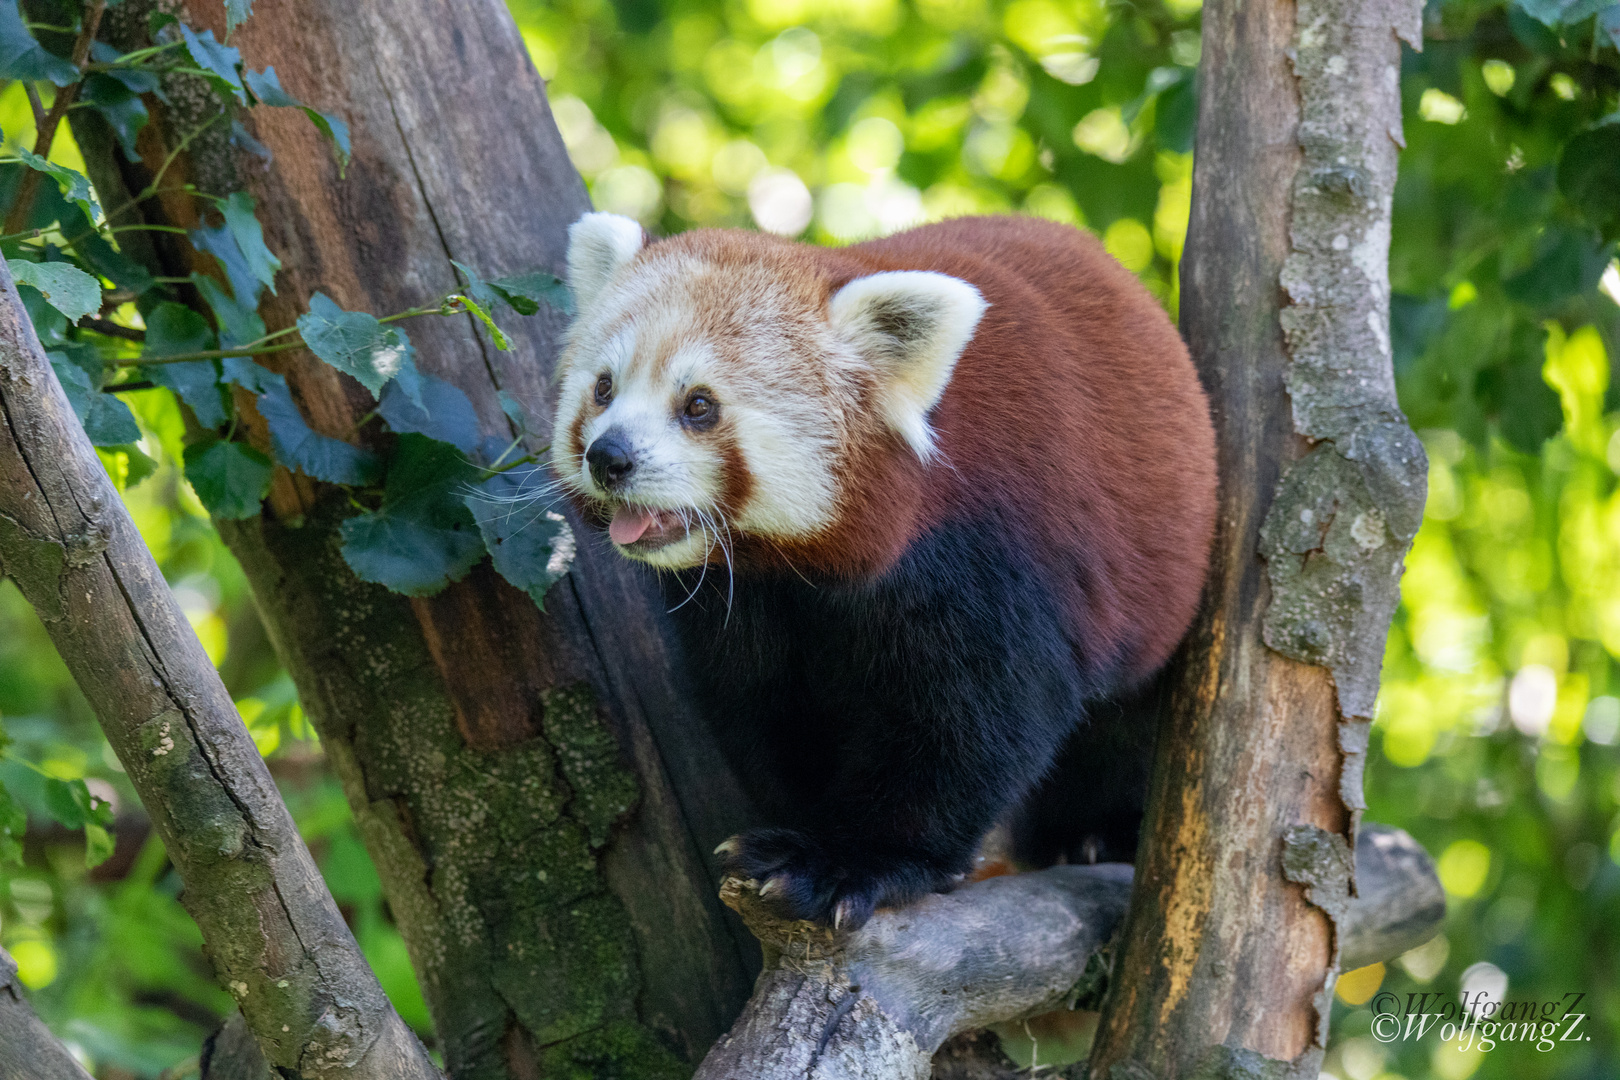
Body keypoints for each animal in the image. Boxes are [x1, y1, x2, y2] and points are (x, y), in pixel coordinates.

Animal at [550, 210, 1211, 932]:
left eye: (699, 406)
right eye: (603, 388)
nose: (608, 457)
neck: (808, 574)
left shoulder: (988, 553)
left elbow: (968, 724)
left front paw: (848, 863)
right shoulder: (749, 600)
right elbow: (766, 707)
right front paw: (797, 829)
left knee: (1124, 725)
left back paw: (1094, 831)